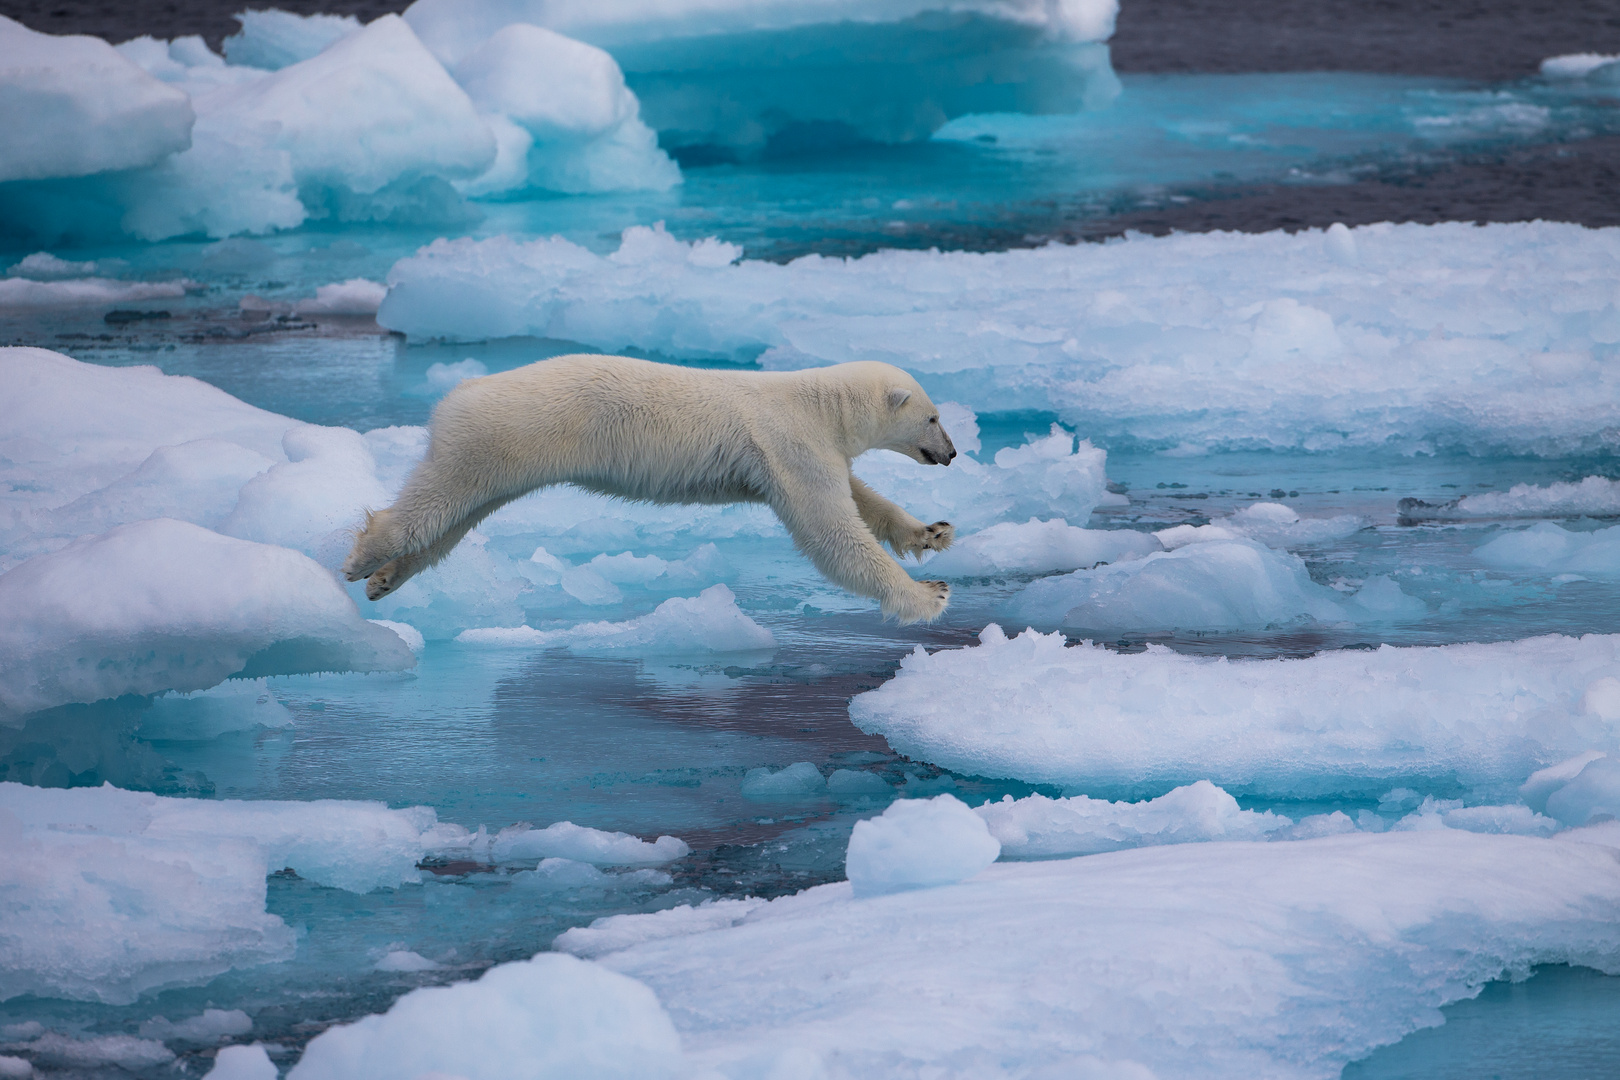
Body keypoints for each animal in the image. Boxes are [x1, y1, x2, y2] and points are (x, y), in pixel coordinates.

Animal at [335, 354, 952, 621]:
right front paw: (928, 595)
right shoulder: (789, 443)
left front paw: (933, 532)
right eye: (933, 416)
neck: (818, 404)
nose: (951, 453)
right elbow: (830, 530)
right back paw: (363, 558)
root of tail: (458, 391)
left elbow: (861, 498)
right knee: (433, 504)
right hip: (501, 436)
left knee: (455, 520)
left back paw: (386, 579)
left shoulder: (806, 450)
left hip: (499, 460)